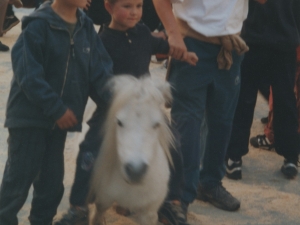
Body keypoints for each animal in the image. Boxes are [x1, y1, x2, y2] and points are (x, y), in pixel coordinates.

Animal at [88, 75, 175, 225]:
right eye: (119, 122)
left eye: (157, 124)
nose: (136, 171)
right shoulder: (102, 200)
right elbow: (97, 215)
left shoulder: (149, 213)